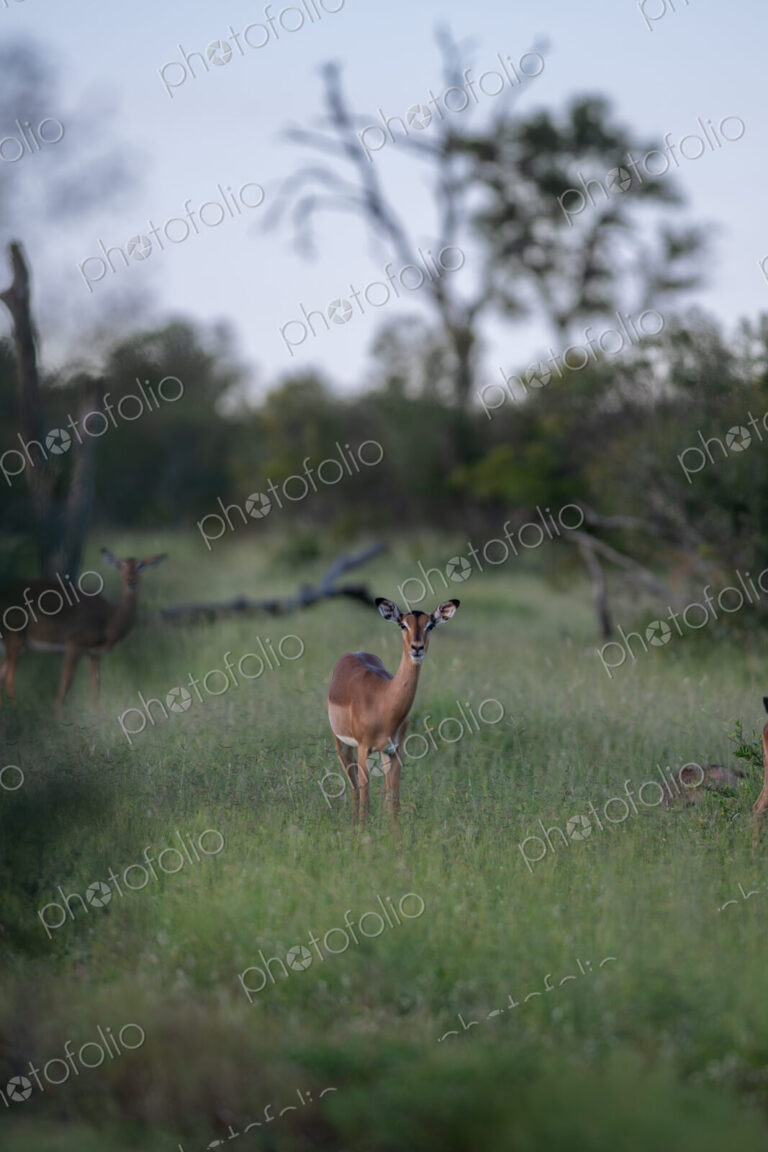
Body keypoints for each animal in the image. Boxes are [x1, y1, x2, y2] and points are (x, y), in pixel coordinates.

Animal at [0, 549, 166, 709]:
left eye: (141, 565)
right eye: (121, 565)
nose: (131, 580)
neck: (109, 620)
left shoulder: (93, 654)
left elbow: (96, 687)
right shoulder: (74, 643)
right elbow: (65, 685)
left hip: (20, 646)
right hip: (14, 637)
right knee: (9, 678)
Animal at [326, 597, 460, 824]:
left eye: (430, 625)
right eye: (403, 625)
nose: (417, 647)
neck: (383, 700)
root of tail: (353, 653)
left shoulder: (394, 751)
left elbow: (393, 803)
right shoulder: (363, 749)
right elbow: (365, 803)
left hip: (380, 754)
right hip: (343, 745)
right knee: (354, 790)